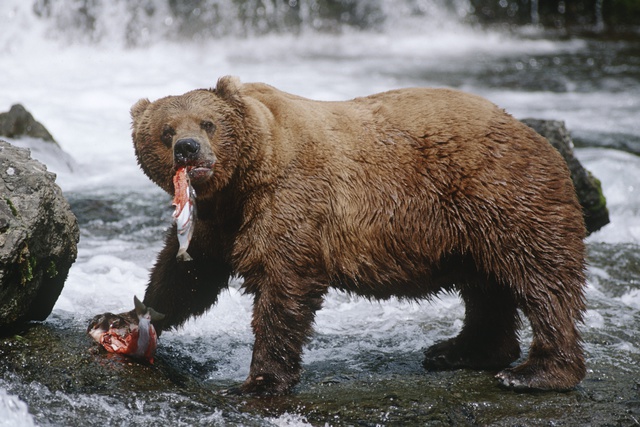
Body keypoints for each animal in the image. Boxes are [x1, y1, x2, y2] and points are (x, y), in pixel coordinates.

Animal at [101, 76, 592, 394]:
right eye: (166, 131)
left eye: (208, 123)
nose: (188, 148)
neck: (242, 180)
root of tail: (535, 134)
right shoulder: (214, 221)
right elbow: (184, 277)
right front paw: (117, 319)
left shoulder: (289, 198)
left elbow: (284, 285)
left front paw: (260, 379)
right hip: (468, 231)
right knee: (486, 286)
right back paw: (462, 350)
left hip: (501, 195)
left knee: (541, 280)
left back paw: (534, 372)